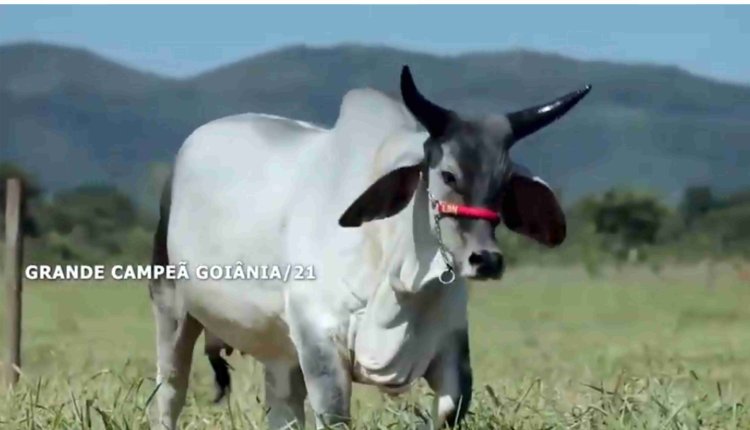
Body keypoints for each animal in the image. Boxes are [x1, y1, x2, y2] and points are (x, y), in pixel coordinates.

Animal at [148, 65, 592, 428]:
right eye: (448, 174)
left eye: (502, 184)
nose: (486, 260)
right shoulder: (320, 342)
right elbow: (334, 417)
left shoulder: (451, 348)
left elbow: (448, 411)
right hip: (171, 308)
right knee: (169, 393)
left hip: (279, 351)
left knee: (282, 409)